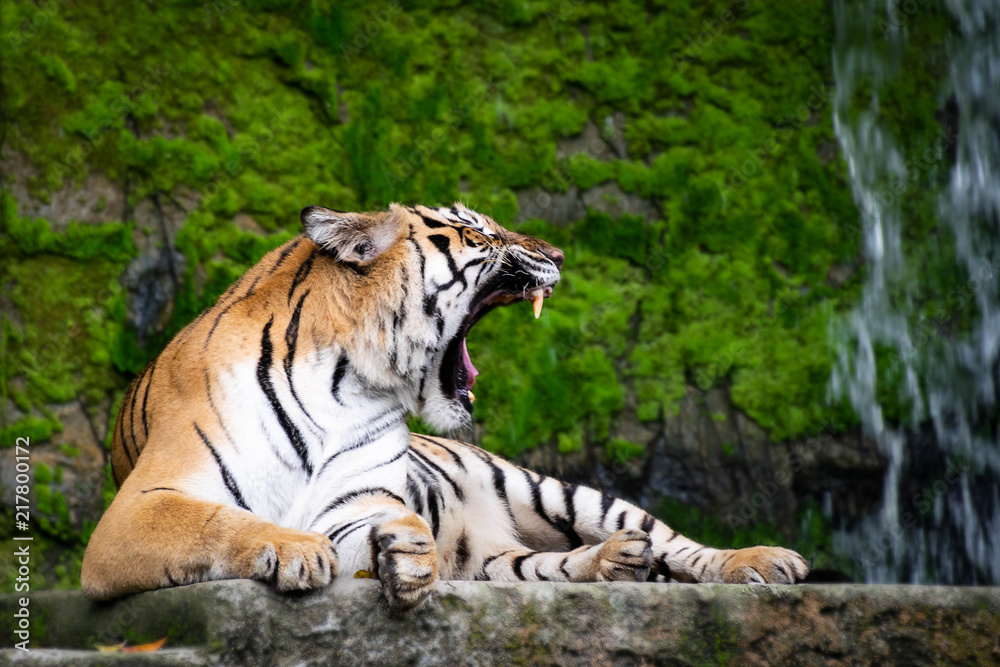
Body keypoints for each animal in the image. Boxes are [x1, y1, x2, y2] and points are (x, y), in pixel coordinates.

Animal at [81, 203, 809, 608]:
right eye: (476, 232)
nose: (559, 252)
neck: (343, 379)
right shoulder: (137, 507)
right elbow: (219, 521)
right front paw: (298, 550)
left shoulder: (359, 506)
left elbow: (389, 531)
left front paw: (406, 558)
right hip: (497, 555)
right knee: (541, 565)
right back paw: (615, 562)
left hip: (558, 492)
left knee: (674, 542)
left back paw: (760, 560)